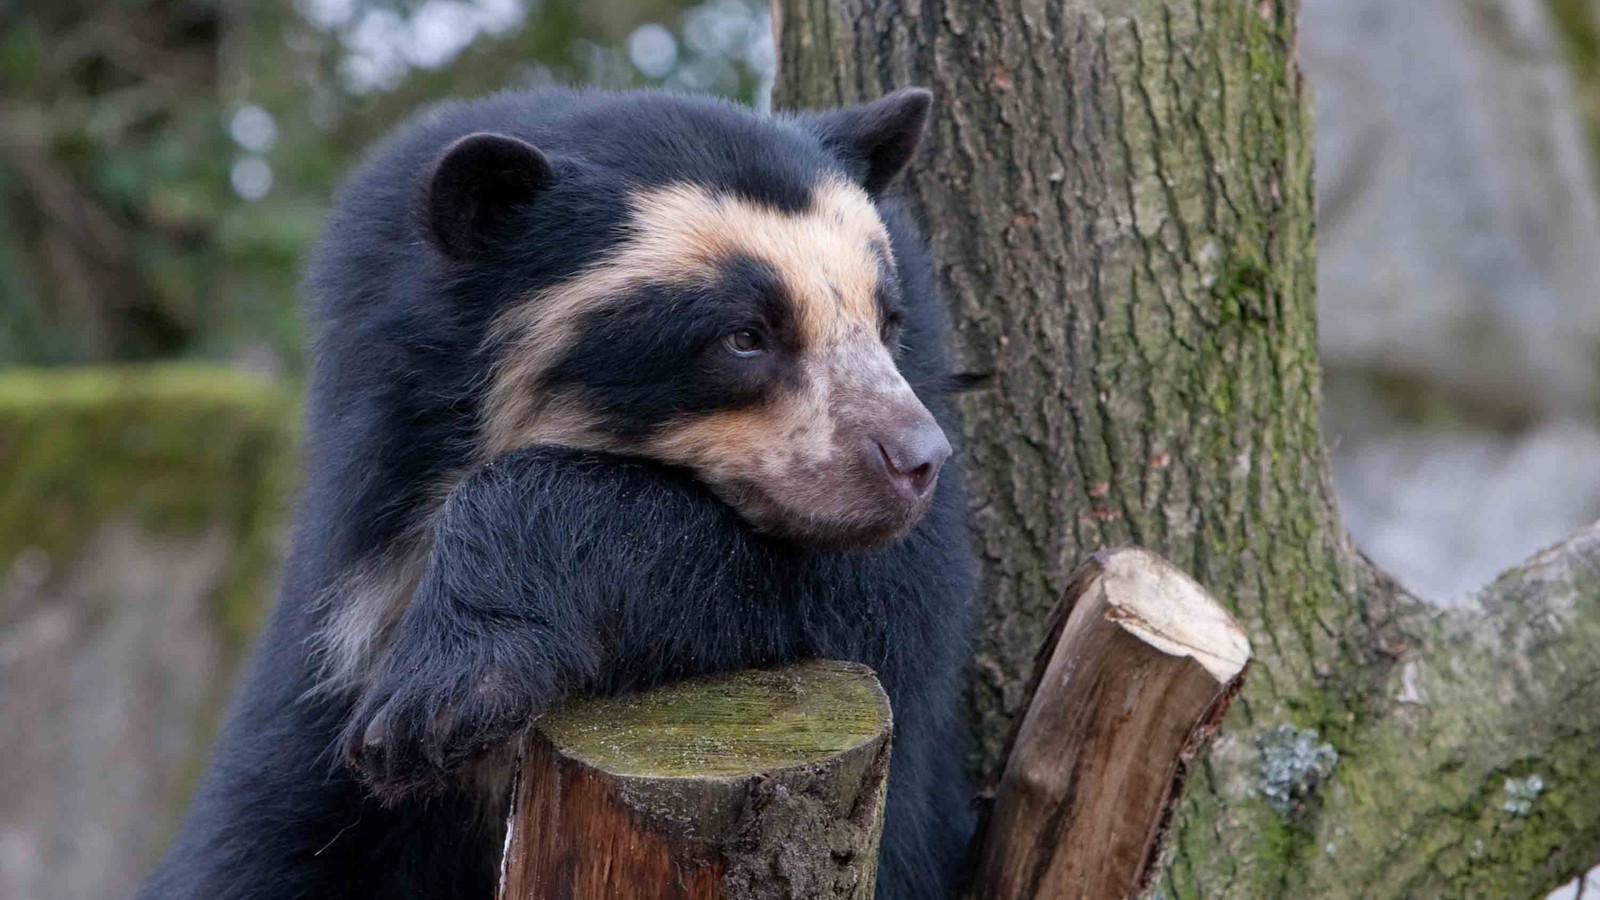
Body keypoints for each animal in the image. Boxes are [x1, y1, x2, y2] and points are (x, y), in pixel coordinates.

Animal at [137, 87, 979, 896]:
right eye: (744, 335)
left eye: (887, 321)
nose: (918, 459)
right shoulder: (344, 585)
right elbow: (262, 837)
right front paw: (416, 726)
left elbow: (876, 602)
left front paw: (433, 701)